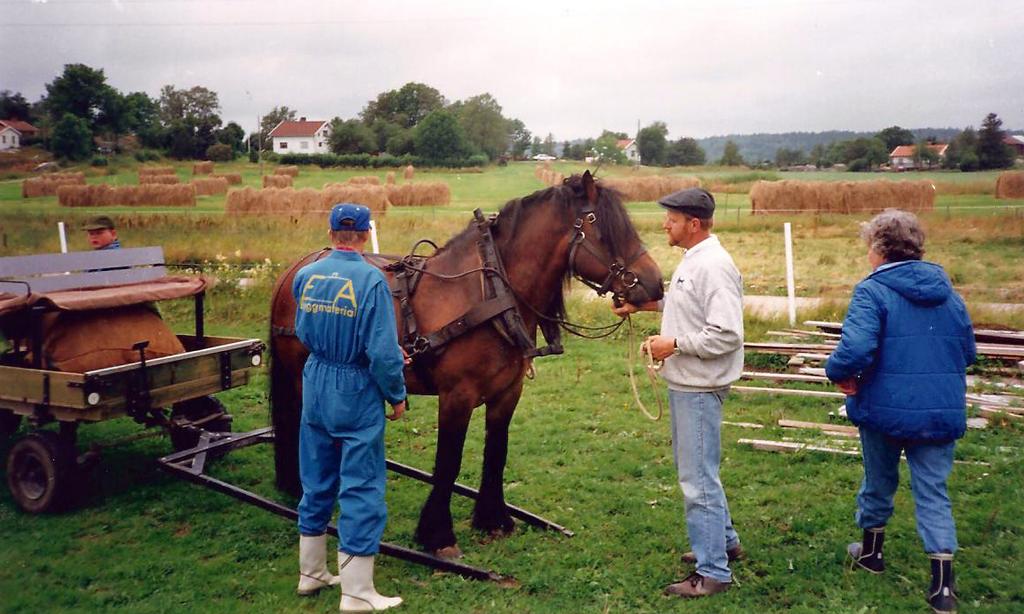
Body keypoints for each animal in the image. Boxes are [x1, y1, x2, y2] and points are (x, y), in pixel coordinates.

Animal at [268, 171, 663, 556]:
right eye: (605, 229)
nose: (656, 284)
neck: (489, 295)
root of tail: (293, 270)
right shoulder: (456, 397)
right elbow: (448, 462)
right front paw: (438, 535)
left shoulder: (507, 394)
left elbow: (496, 452)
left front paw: (493, 519)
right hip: (305, 379)